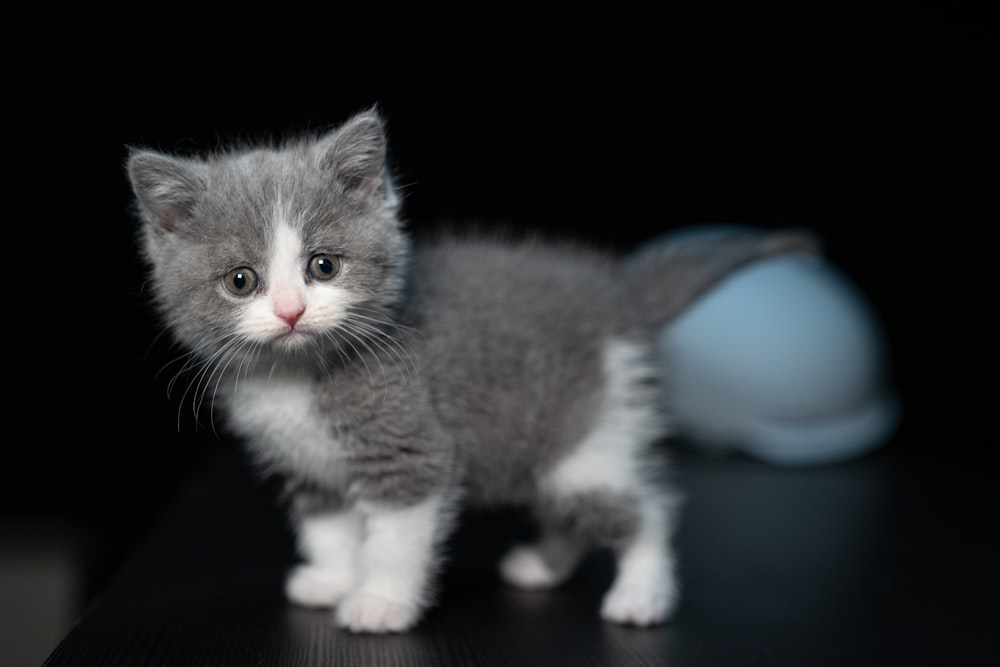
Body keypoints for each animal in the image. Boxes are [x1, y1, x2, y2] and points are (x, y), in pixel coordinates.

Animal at [127, 107, 812, 636]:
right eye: (242, 281)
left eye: (324, 266)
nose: (291, 311)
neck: (296, 377)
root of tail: (618, 293)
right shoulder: (302, 464)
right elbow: (329, 526)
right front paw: (332, 579)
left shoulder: (409, 440)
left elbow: (396, 534)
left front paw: (379, 603)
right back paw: (544, 565)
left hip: (592, 430)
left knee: (646, 509)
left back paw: (643, 593)